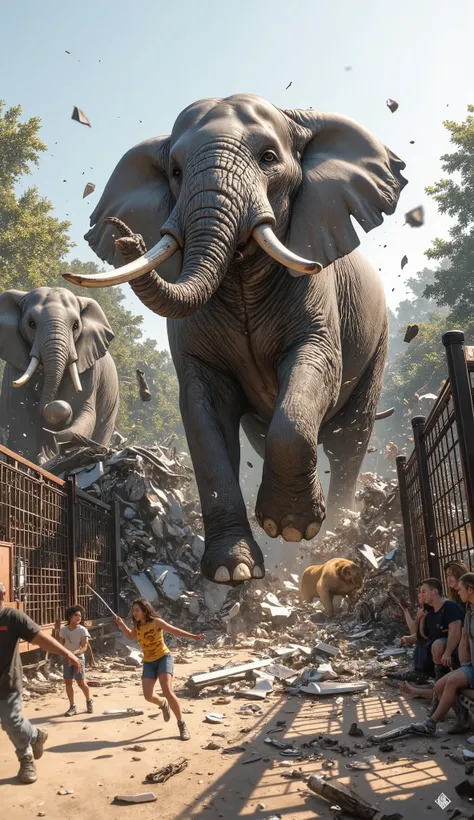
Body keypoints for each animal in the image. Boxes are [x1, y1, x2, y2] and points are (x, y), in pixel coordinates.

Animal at [0, 287, 119, 462]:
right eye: (31, 324)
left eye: (75, 325)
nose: (50, 407)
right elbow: (20, 415)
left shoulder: (90, 369)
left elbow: (86, 412)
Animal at [64, 93, 407, 584]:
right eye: (176, 172)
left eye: (269, 158)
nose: (127, 237)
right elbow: (203, 409)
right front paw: (234, 572)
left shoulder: (318, 296)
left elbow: (315, 365)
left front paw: (290, 527)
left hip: (377, 342)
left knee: (348, 441)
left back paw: (336, 534)